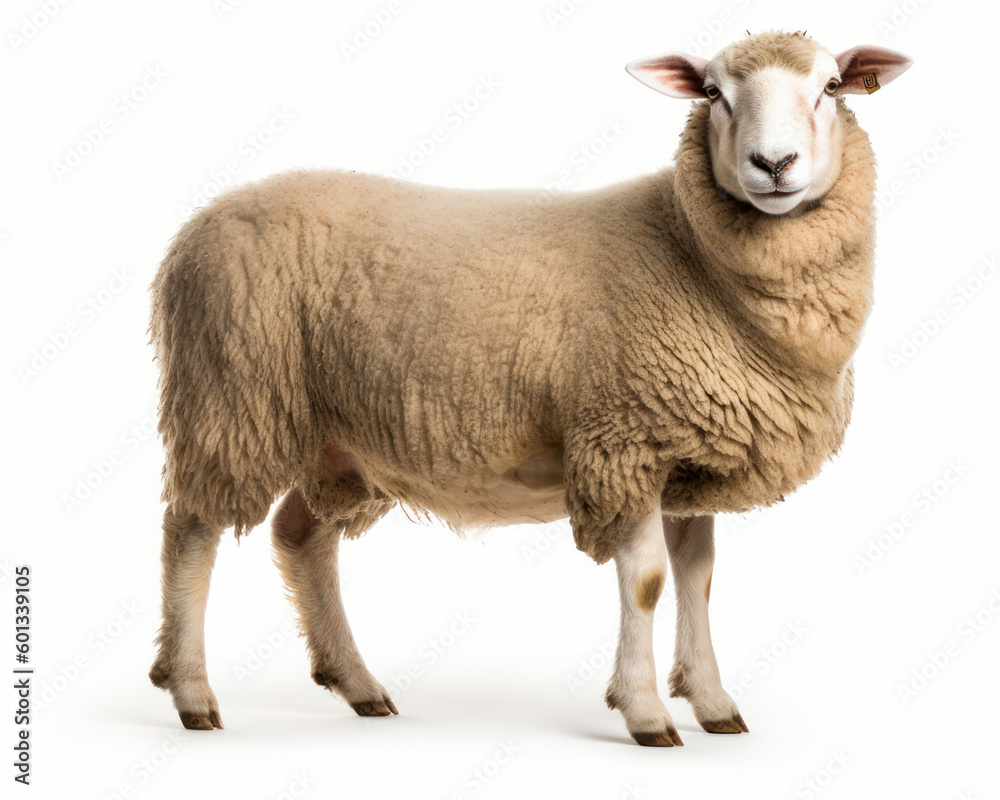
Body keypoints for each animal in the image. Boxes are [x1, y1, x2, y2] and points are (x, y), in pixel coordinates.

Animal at [148, 30, 912, 745]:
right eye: (714, 92)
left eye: (831, 87)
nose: (773, 165)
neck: (689, 252)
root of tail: (194, 227)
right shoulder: (622, 440)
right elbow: (648, 582)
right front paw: (645, 713)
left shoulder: (689, 453)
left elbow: (698, 577)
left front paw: (713, 701)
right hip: (231, 394)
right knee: (192, 528)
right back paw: (190, 692)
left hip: (337, 440)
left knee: (301, 536)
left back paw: (357, 683)